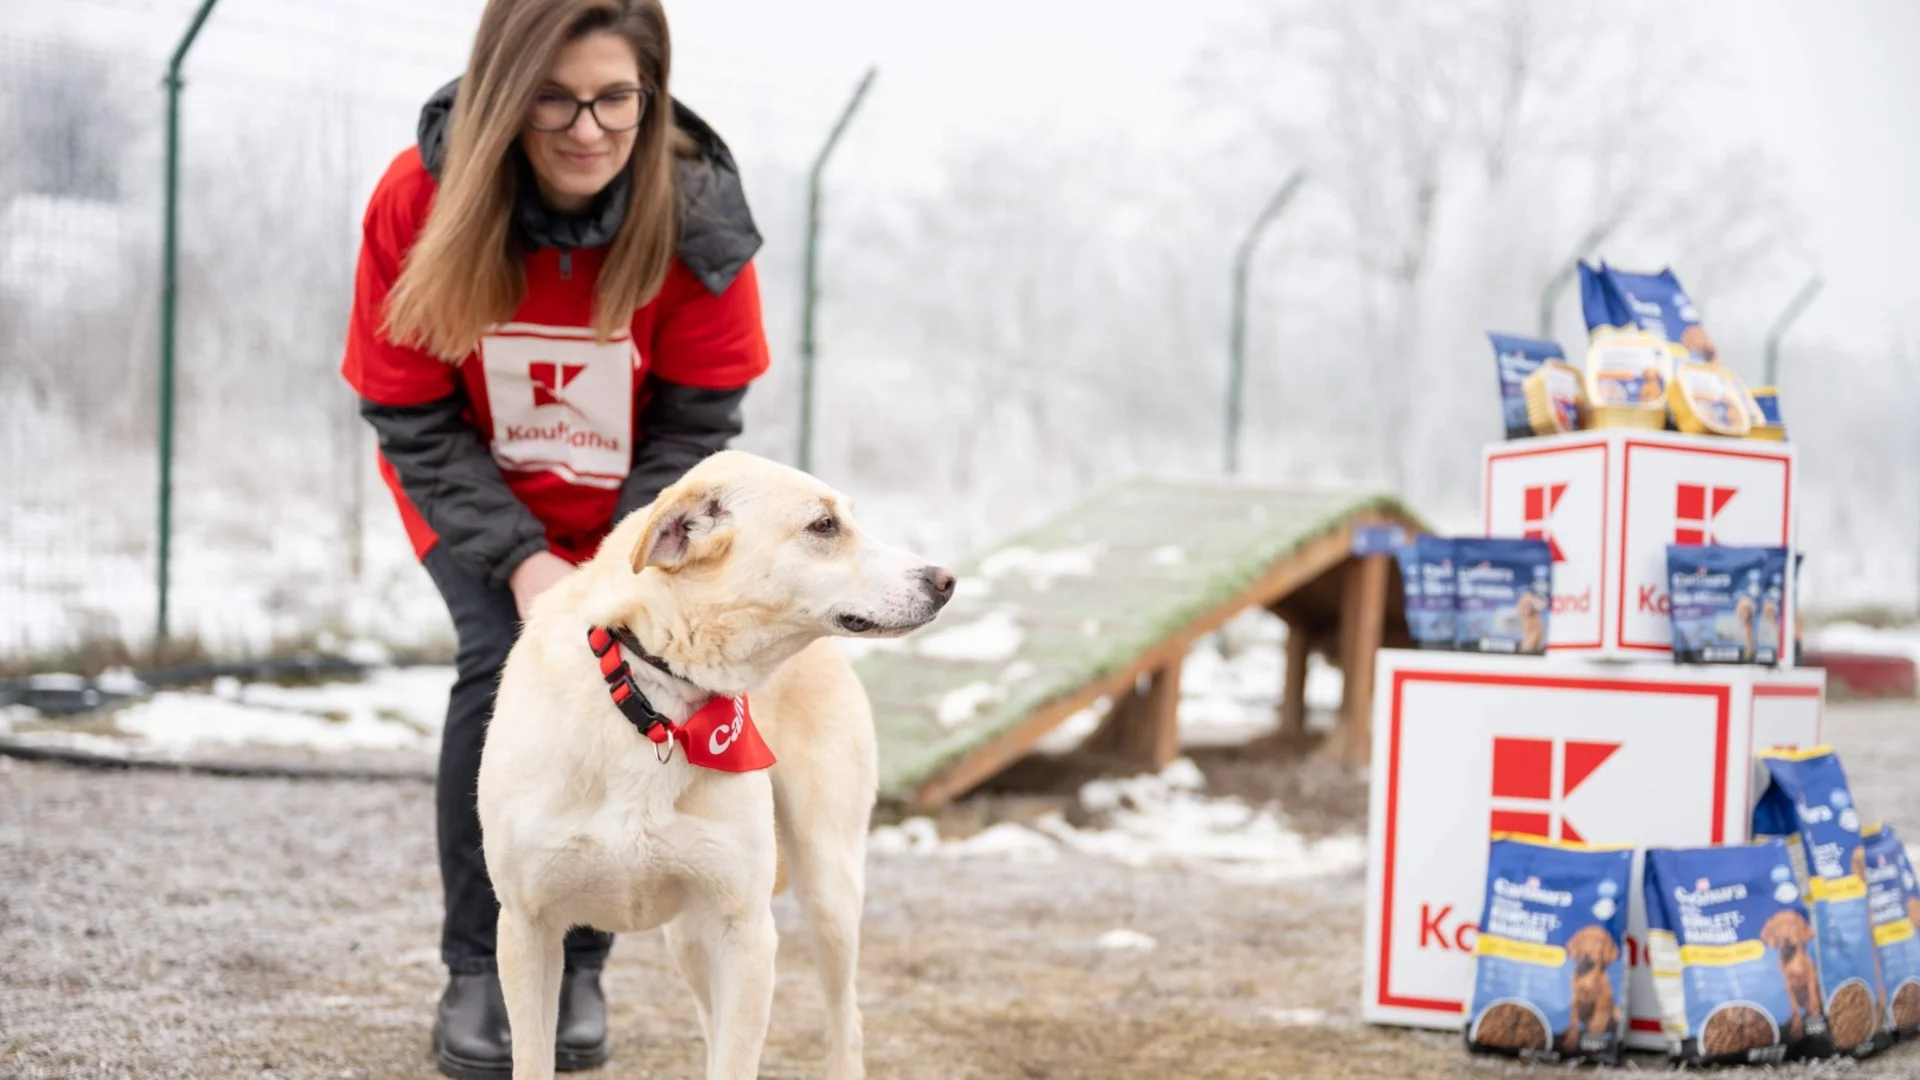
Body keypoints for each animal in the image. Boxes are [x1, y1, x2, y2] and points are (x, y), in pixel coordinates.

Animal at [476, 447, 956, 1076]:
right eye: (824, 525)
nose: (946, 580)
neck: (656, 704)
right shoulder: (526, 927)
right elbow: (533, 1058)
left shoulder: (745, 932)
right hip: (689, 938)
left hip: (828, 888)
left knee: (845, 1021)